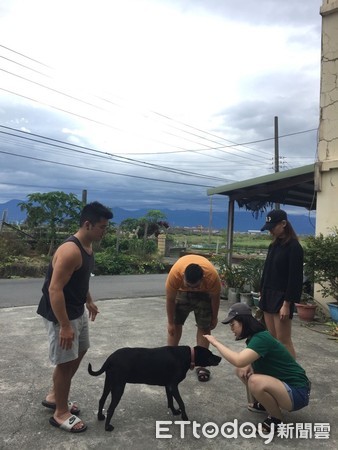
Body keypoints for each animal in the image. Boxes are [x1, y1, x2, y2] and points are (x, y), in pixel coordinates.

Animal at [88, 346, 222, 430]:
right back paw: (107, 427)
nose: (220, 358)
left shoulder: (168, 386)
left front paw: (174, 412)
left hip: (109, 383)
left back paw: (100, 417)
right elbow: (181, 403)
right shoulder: (173, 386)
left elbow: (170, 401)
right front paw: (185, 417)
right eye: (210, 354)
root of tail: (110, 358)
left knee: (101, 400)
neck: (188, 356)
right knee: (110, 408)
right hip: (118, 387)